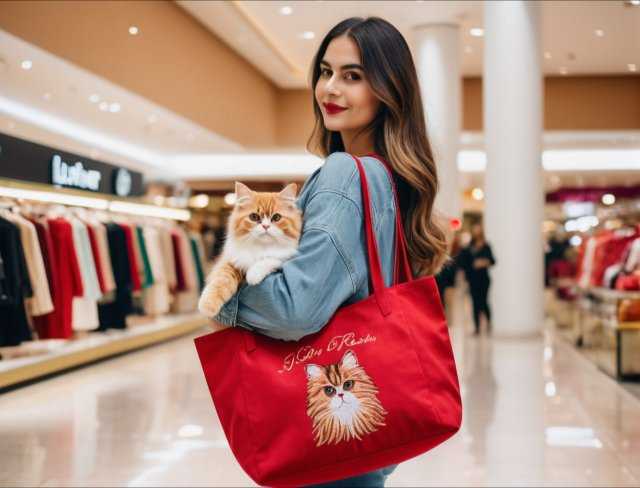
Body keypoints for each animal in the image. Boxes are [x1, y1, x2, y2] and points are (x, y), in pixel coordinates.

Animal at [198, 181, 302, 318]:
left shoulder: (284, 256)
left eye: (276, 217)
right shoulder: (230, 261)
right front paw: (207, 306)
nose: (265, 226)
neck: (261, 247)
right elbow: (220, 281)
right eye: (254, 217)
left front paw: (253, 275)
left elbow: (269, 260)